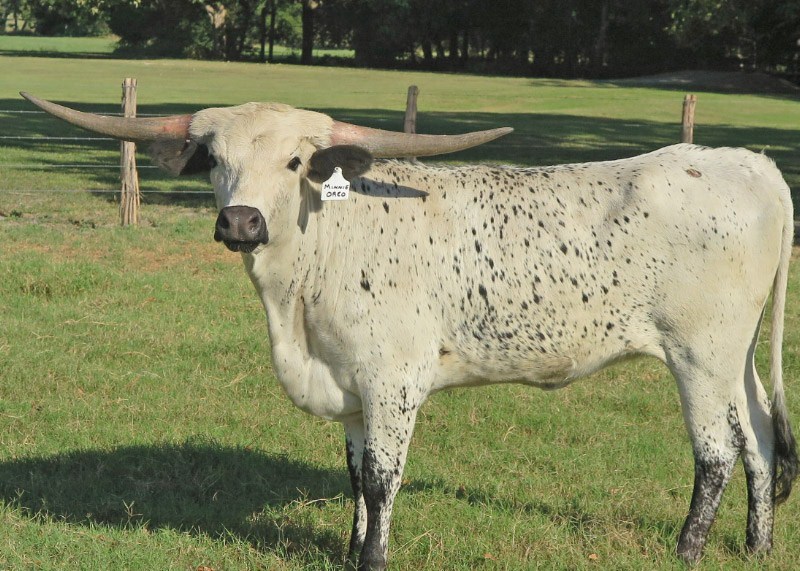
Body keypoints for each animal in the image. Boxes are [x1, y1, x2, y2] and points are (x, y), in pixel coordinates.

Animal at [21, 91, 797, 570]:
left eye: (295, 161)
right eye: (215, 160)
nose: (240, 221)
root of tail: (751, 163)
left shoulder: (391, 381)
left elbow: (382, 478)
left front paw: (374, 558)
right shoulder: (349, 387)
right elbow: (355, 474)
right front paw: (347, 550)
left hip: (698, 354)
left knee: (717, 452)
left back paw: (687, 550)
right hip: (735, 355)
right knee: (759, 436)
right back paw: (755, 547)